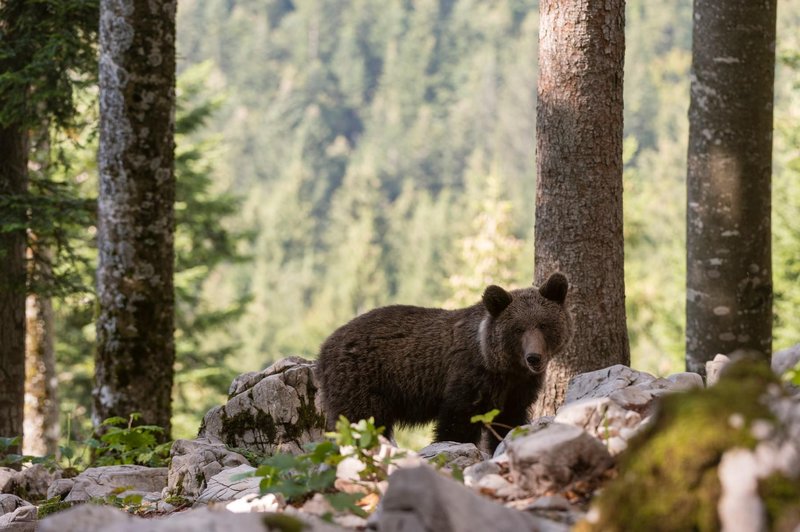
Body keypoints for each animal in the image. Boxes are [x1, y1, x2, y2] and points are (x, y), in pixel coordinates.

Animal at [316, 272, 572, 450]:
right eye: (518, 329)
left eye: (543, 324)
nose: (534, 357)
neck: (501, 367)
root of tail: (324, 347)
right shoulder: (469, 380)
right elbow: (457, 424)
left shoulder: (517, 390)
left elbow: (509, 422)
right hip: (361, 381)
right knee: (359, 421)